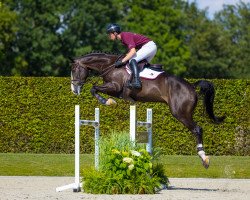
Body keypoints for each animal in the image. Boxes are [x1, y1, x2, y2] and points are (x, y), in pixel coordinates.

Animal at [70, 52, 225, 169]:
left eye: (74, 70)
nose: (74, 90)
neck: (111, 66)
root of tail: (191, 86)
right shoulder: (114, 89)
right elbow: (95, 89)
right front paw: (110, 101)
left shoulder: (114, 87)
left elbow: (94, 88)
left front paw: (108, 102)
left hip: (180, 113)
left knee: (197, 129)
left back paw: (204, 158)